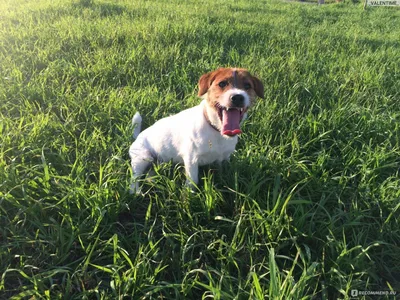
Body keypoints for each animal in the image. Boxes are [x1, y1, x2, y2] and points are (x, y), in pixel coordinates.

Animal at [130, 67, 264, 193]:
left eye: (247, 86)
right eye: (222, 84)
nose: (237, 97)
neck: (215, 129)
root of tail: (138, 136)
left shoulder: (224, 158)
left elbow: (223, 172)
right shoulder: (191, 160)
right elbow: (193, 181)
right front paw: (189, 195)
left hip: (156, 162)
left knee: (150, 174)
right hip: (142, 158)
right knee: (135, 177)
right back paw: (136, 192)